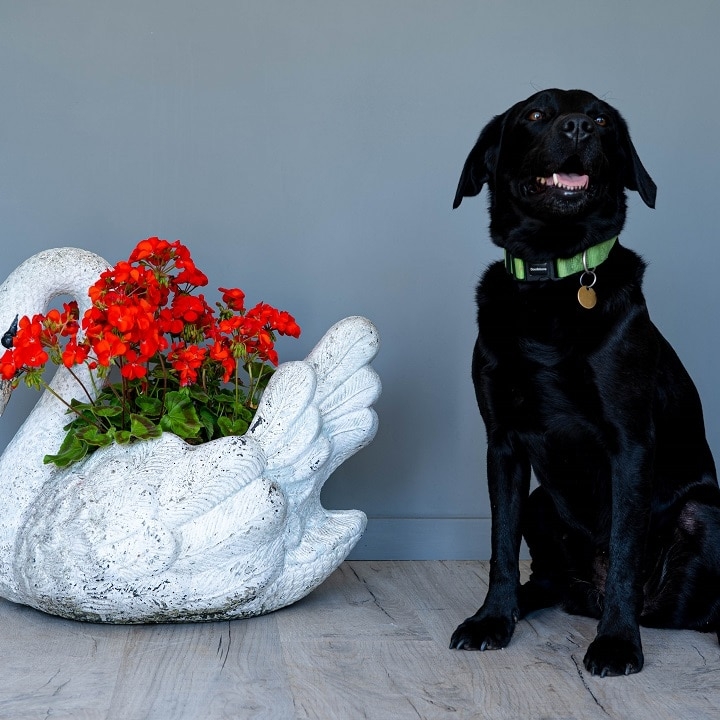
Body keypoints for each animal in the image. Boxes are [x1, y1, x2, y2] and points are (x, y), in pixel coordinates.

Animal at [450, 88, 720, 676]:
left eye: (600, 118)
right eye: (534, 115)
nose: (578, 127)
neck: (554, 276)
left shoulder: (630, 444)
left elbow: (624, 549)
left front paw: (617, 642)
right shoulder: (502, 444)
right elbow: (500, 547)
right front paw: (491, 620)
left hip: (705, 511)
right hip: (540, 503)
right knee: (545, 578)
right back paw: (520, 604)